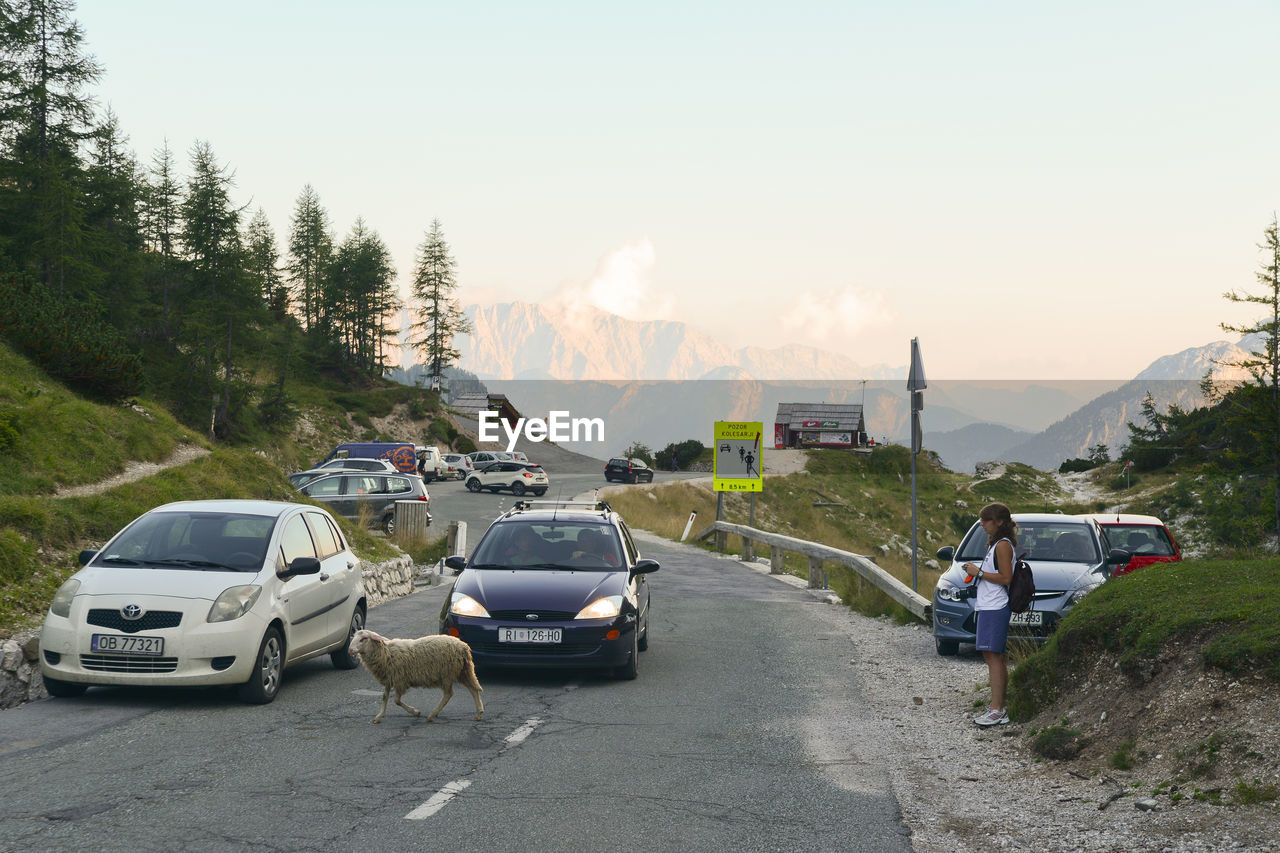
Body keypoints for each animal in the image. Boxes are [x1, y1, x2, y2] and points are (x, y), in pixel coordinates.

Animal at [345, 627, 483, 722]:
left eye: (364, 639)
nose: (350, 650)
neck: (386, 653)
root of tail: (464, 647)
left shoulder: (400, 681)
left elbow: (396, 700)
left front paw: (415, 712)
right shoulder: (390, 678)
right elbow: (384, 697)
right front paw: (379, 716)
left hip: (448, 674)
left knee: (449, 694)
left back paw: (432, 715)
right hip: (462, 671)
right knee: (473, 689)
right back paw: (479, 713)